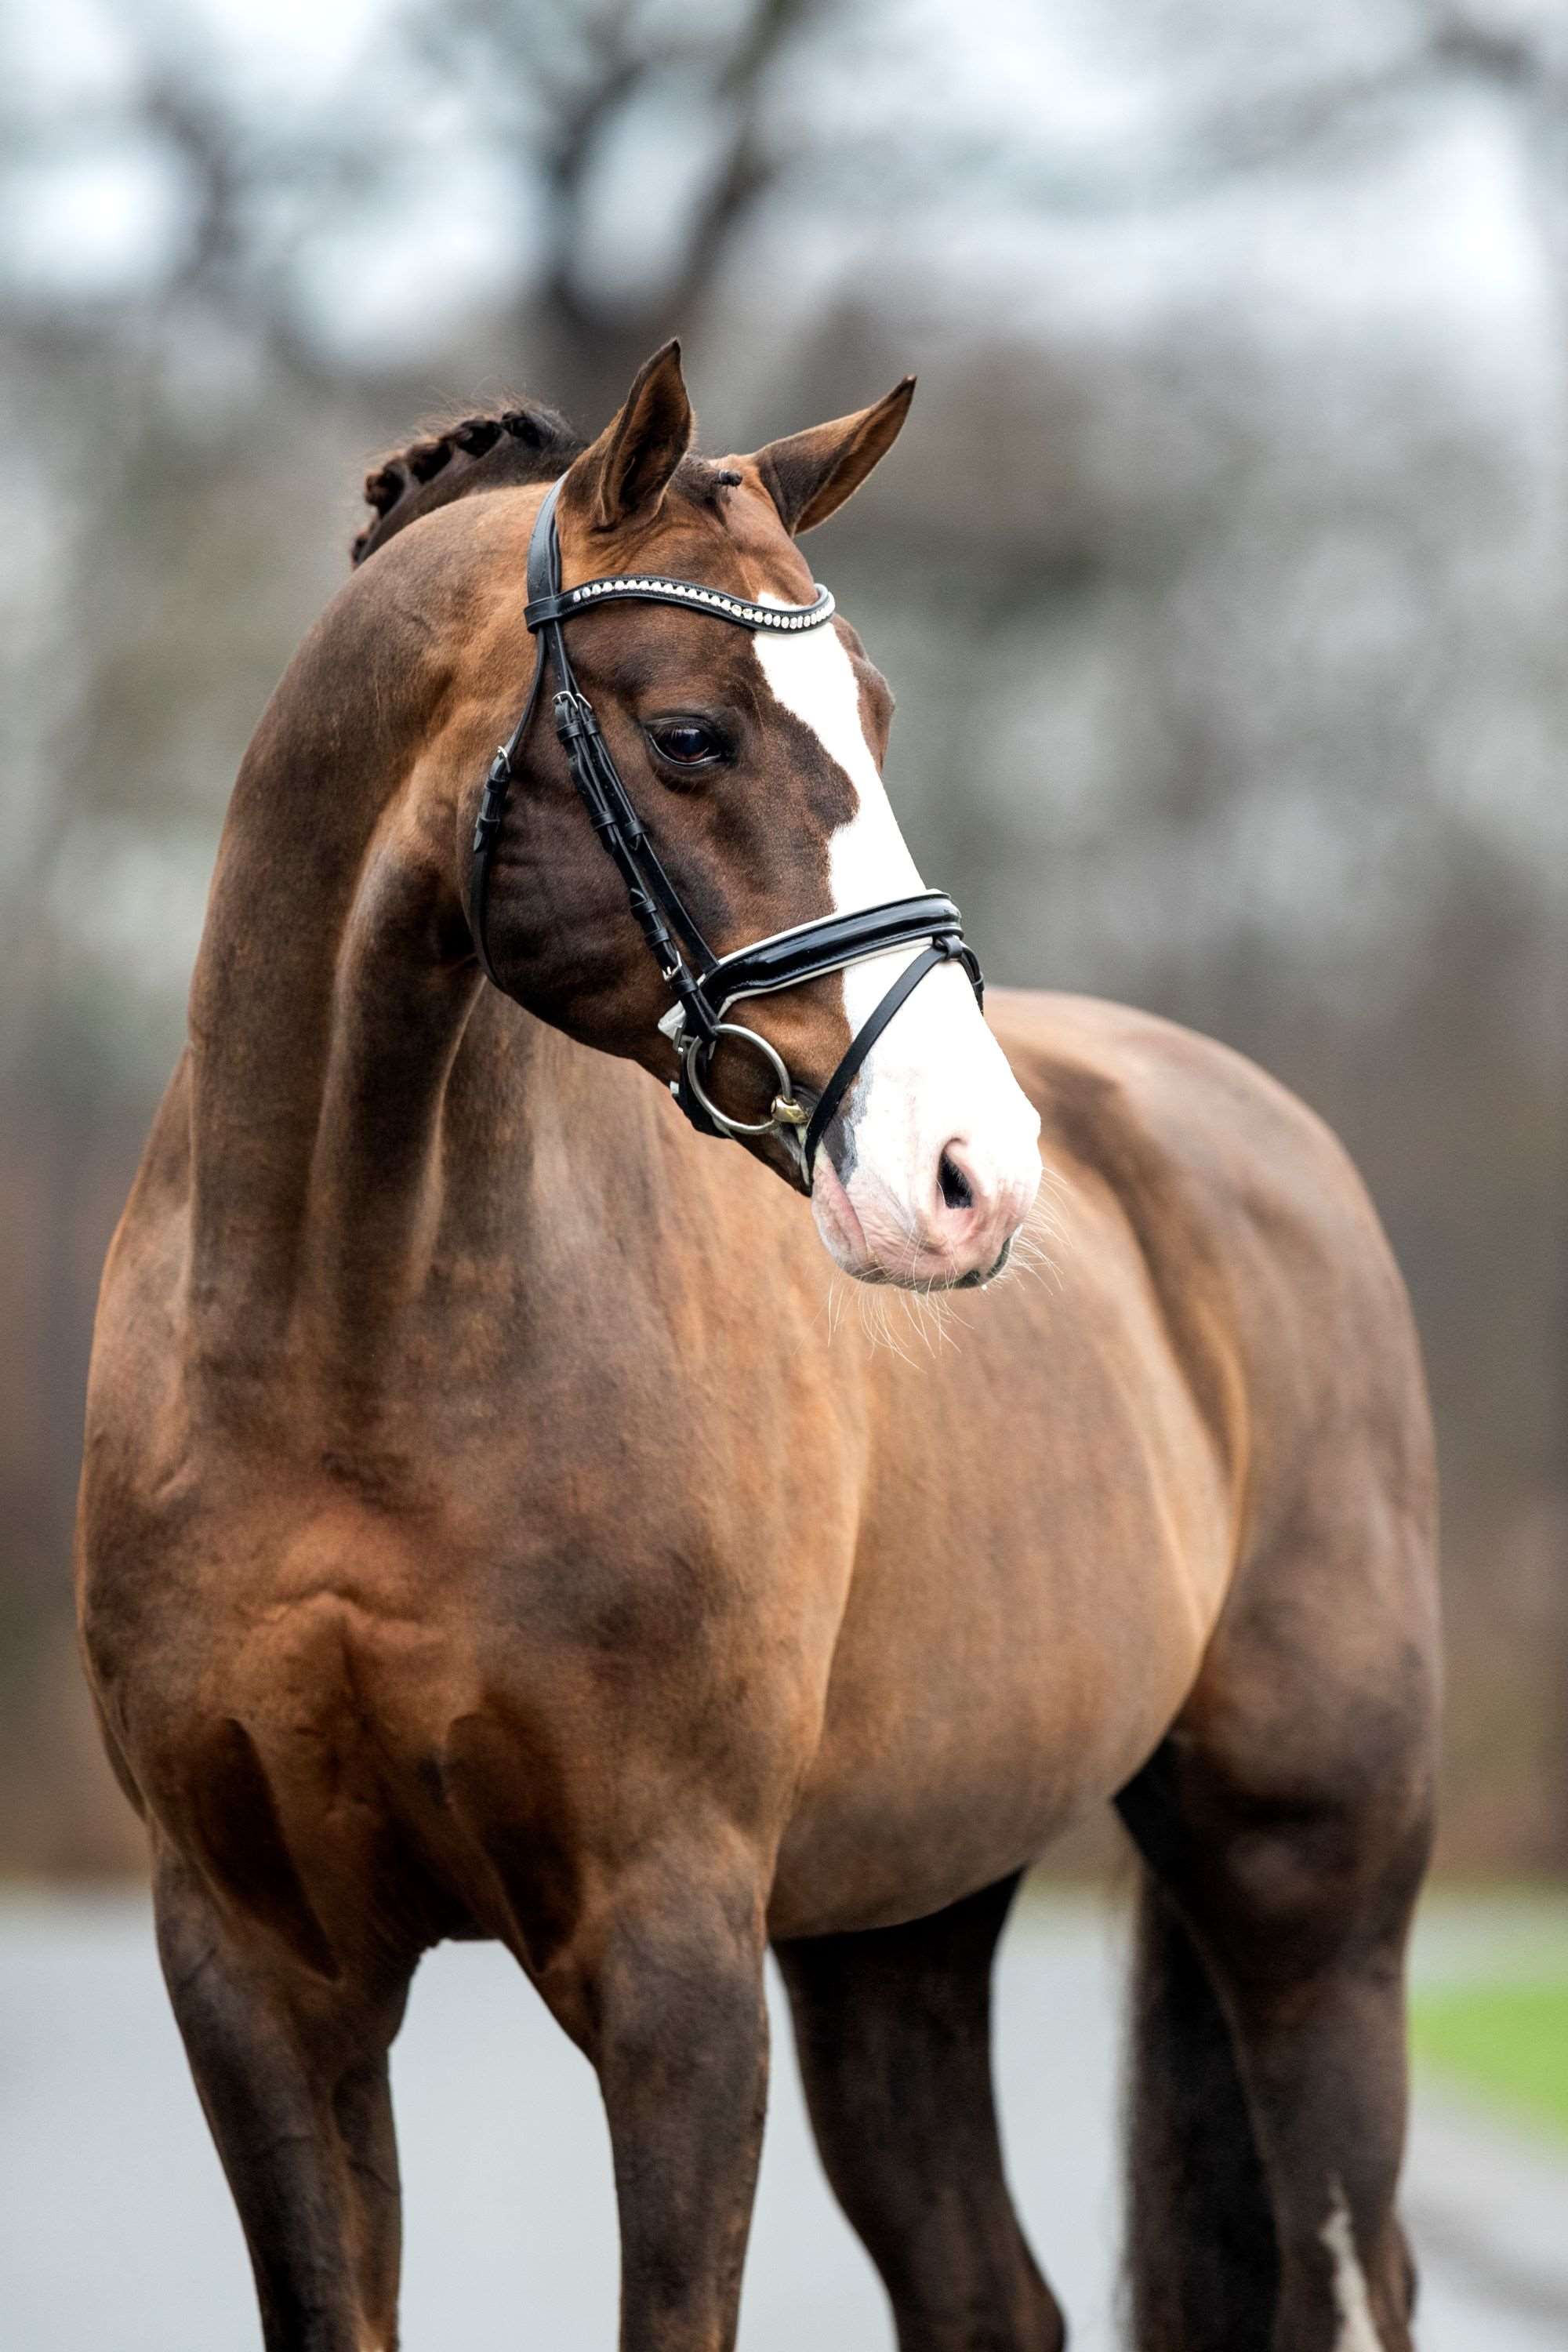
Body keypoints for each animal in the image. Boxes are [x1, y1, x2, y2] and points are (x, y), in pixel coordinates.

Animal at [77, 341, 1440, 2352]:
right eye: (693, 735)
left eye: (870, 709)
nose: (968, 1173)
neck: (350, 1361)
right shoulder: (258, 1970)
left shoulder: (675, 1966)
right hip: (899, 1926)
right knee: (988, 2294)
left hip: (1306, 1899)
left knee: (1347, 2266)